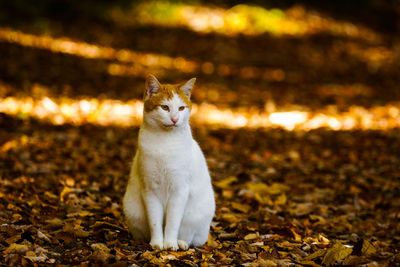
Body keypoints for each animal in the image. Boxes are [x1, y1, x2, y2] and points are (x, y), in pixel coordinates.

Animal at [122, 74, 214, 251]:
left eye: (181, 108)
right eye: (165, 107)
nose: (175, 119)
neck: (164, 143)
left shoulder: (180, 190)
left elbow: (172, 222)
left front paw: (170, 243)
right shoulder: (150, 189)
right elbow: (155, 222)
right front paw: (157, 243)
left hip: (196, 216)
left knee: (191, 236)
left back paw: (181, 243)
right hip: (132, 210)